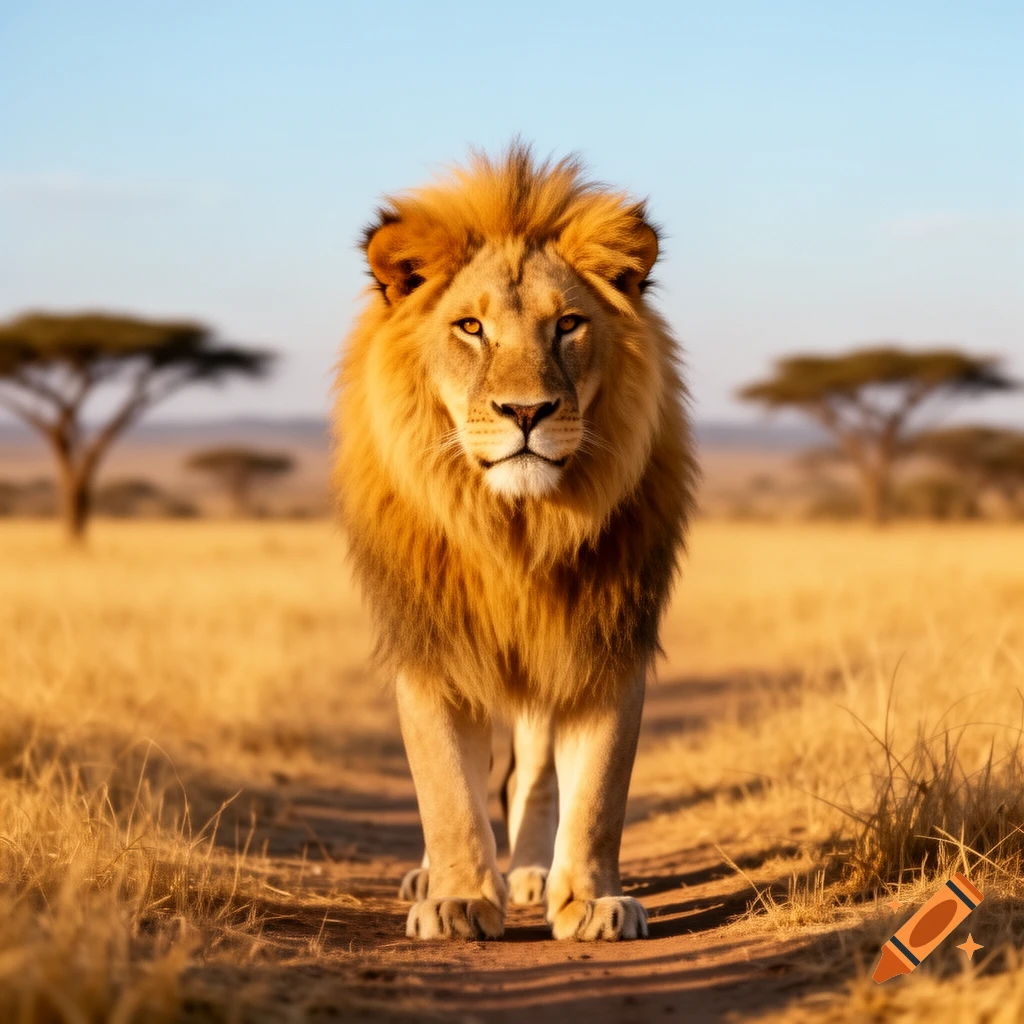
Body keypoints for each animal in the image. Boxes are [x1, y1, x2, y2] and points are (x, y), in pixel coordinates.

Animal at [332, 145, 695, 942]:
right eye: (470, 327)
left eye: (569, 325)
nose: (526, 412)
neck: (513, 528)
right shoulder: (432, 645)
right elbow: (444, 787)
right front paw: (458, 898)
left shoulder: (605, 640)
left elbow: (596, 795)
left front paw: (590, 900)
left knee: (534, 771)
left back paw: (530, 870)